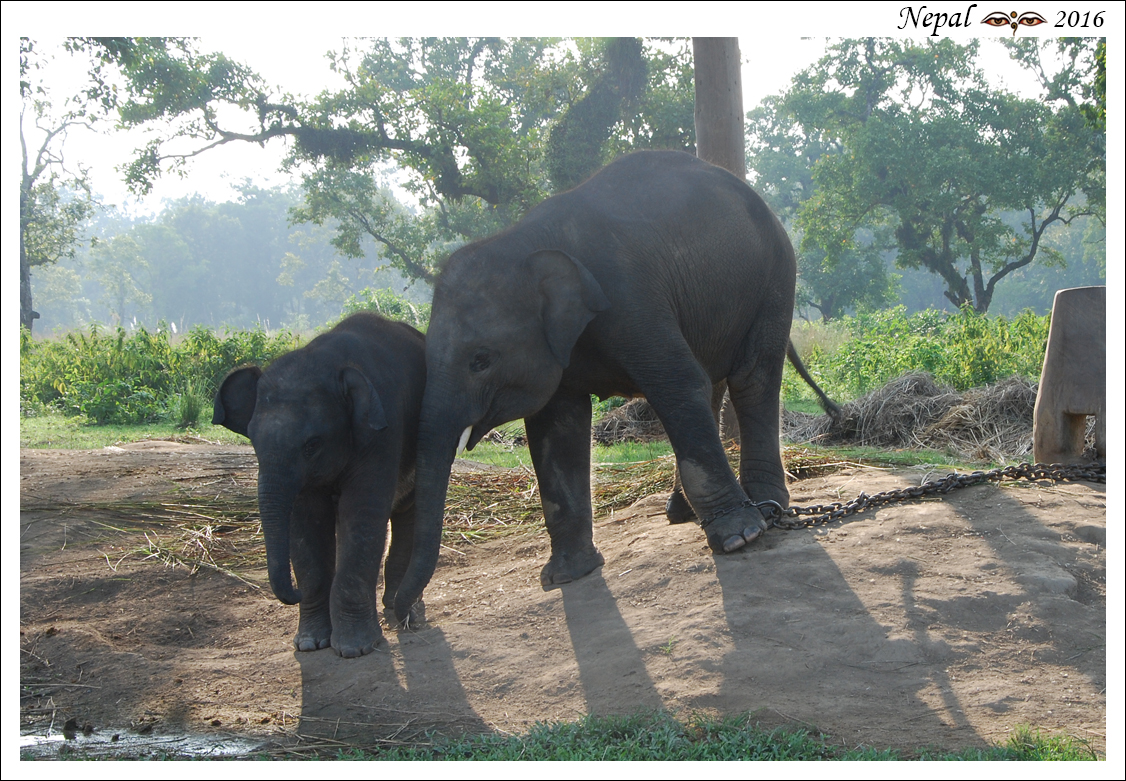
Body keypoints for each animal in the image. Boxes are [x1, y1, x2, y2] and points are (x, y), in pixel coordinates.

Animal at [211, 312, 425, 661]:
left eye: (312, 444)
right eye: (252, 440)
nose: (293, 593)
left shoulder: (382, 433)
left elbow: (362, 515)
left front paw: (355, 648)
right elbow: (305, 522)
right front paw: (311, 643)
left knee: (410, 512)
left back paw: (404, 614)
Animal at [391, 149, 806, 621]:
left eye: (481, 360)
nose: (404, 616)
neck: (523, 240)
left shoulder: (631, 297)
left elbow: (680, 384)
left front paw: (740, 538)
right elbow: (555, 429)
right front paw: (568, 575)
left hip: (775, 275)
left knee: (752, 377)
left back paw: (768, 509)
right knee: (716, 384)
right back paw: (684, 511)